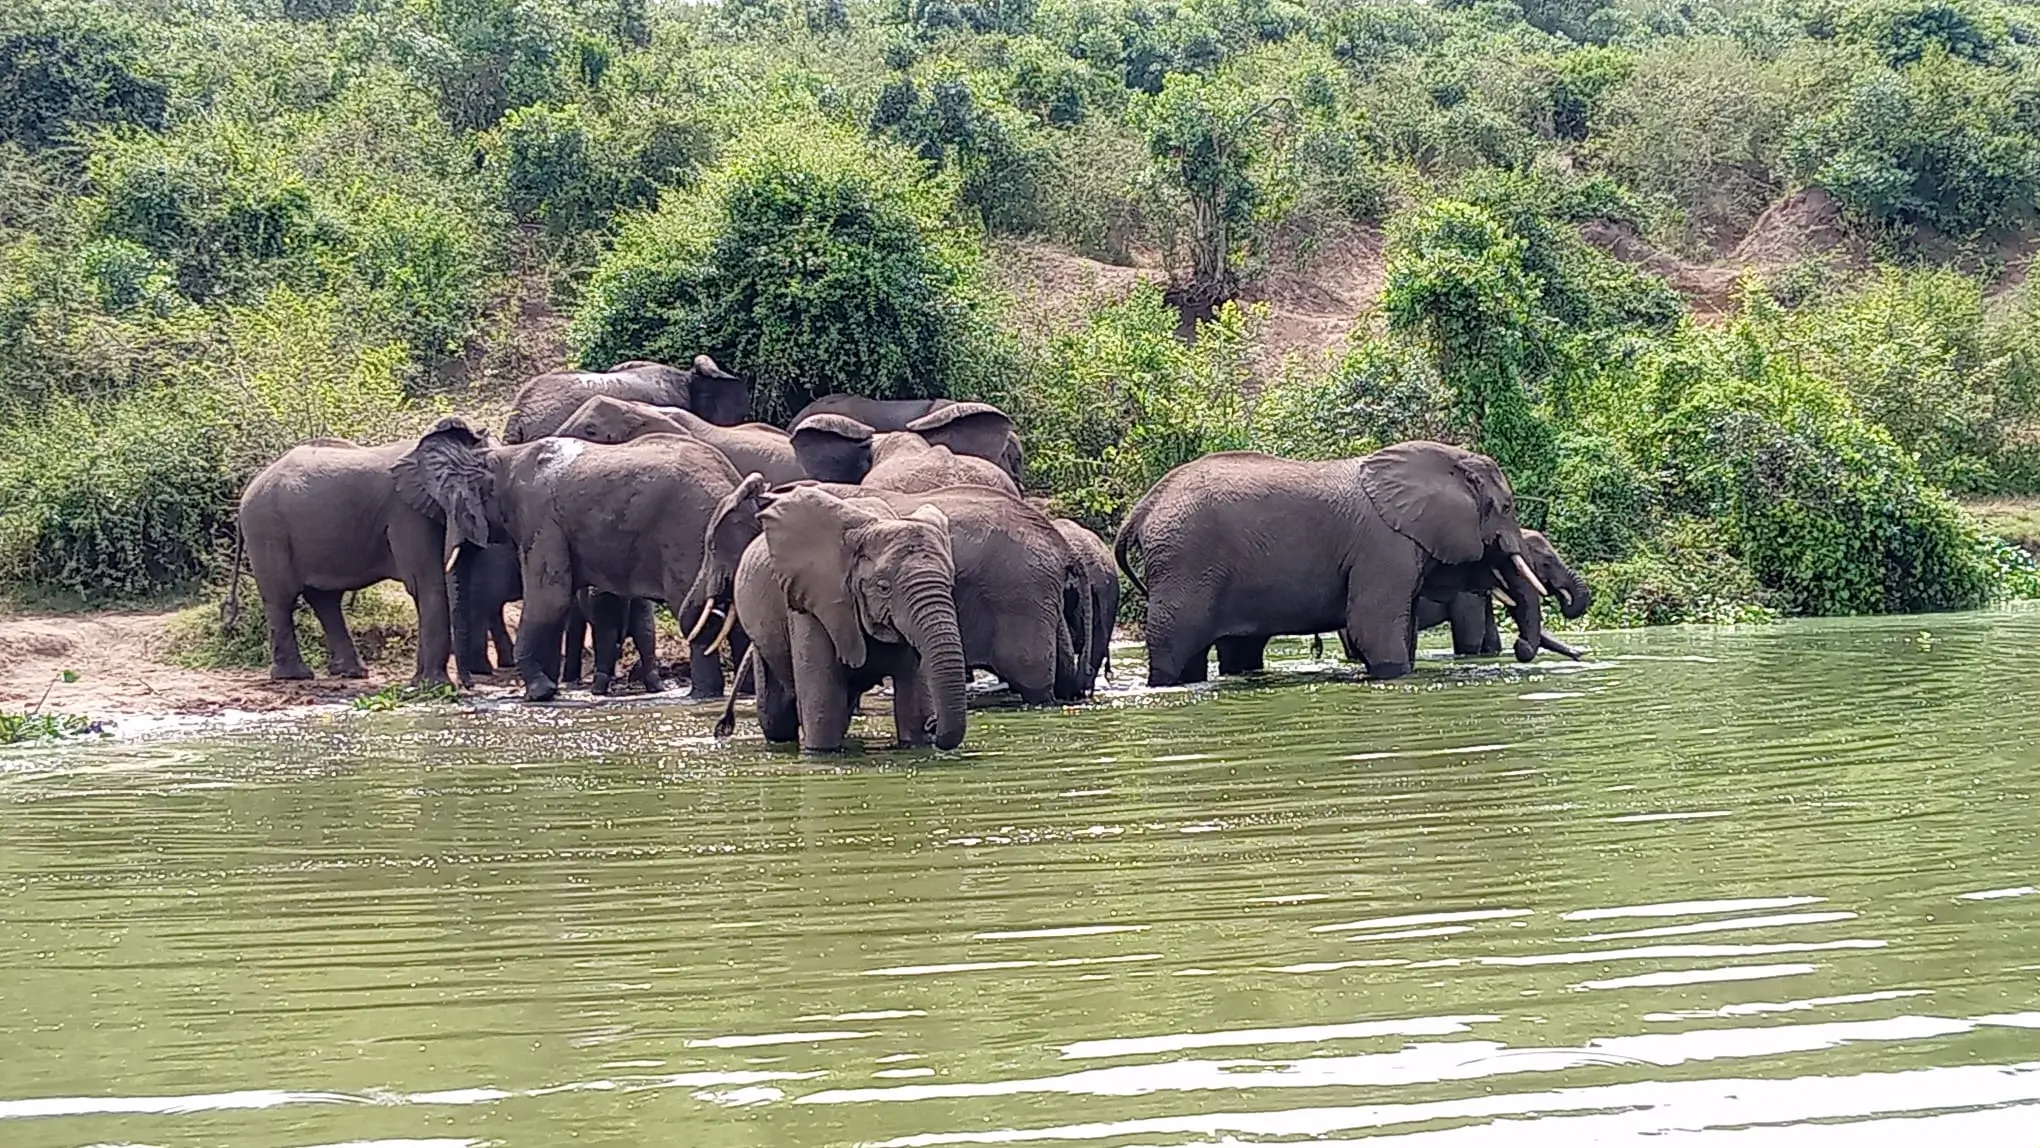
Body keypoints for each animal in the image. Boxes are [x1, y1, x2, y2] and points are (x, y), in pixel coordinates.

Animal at [230, 437, 458, 684]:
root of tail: (251, 485)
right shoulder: (407, 512)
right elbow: (425, 581)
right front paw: (433, 685)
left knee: (324, 599)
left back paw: (349, 672)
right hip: (268, 529)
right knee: (283, 597)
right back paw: (294, 676)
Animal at [394, 418, 743, 701]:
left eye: (454, 508)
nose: (469, 688)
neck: (499, 458)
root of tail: (730, 478)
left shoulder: (539, 517)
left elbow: (549, 598)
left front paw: (539, 693)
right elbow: (556, 605)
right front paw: (549, 690)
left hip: (689, 534)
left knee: (695, 612)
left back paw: (701, 695)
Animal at [718, 485, 968, 752]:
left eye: (950, 583)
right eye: (883, 587)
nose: (932, 723)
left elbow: (912, 709)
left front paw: (919, 736)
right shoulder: (812, 601)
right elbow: (823, 716)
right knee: (777, 718)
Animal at [1113, 442, 1564, 687]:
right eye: (1506, 507)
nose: (1523, 650)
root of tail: (1143, 507)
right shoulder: (1384, 547)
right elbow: (1374, 628)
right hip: (1185, 564)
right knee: (1175, 646)